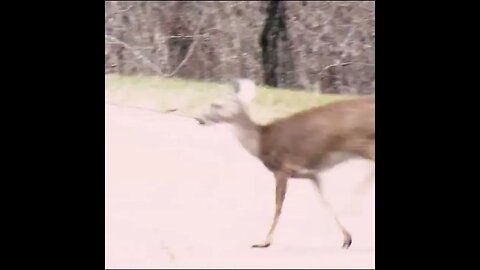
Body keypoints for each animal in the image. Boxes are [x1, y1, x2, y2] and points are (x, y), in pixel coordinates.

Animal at [195, 78, 376, 249]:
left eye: (216, 104)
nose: (199, 118)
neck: (261, 141)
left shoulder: (282, 169)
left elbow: (278, 207)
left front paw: (264, 242)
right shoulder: (311, 173)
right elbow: (325, 200)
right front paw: (347, 239)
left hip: (358, 142)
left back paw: (354, 204)